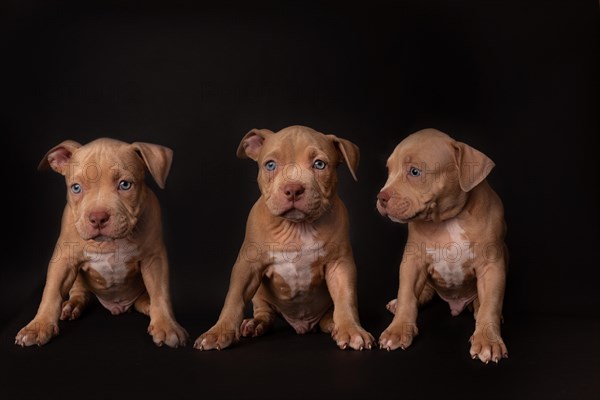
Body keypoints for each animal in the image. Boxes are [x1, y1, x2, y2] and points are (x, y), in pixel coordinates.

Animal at [15, 139, 188, 348]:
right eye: (76, 188)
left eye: (125, 185)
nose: (97, 218)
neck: (110, 244)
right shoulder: (63, 259)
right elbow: (51, 293)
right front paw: (38, 325)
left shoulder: (154, 259)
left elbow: (161, 293)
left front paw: (167, 325)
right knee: (79, 293)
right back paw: (71, 306)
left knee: (148, 298)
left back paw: (149, 306)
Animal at [192, 125, 372, 350]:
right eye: (270, 165)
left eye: (319, 164)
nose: (293, 189)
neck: (297, 228)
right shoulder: (247, 265)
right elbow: (233, 299)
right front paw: (218, 332)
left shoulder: (340, 265)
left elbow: (346, 298)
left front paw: (351, 329)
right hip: (260, 294)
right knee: (265, 313)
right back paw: (254, 324)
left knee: (331, 312)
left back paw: (333, 324)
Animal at [378, 130, 508, 364]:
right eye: (389, 170)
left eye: (415, 172)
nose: (381, 197)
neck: (448, 220)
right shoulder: (412, 262)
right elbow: (407, 295)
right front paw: (398, 330)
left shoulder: (492, 267)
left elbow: (491, 304)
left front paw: (488, 341)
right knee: (422, 293)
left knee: (482, 303)